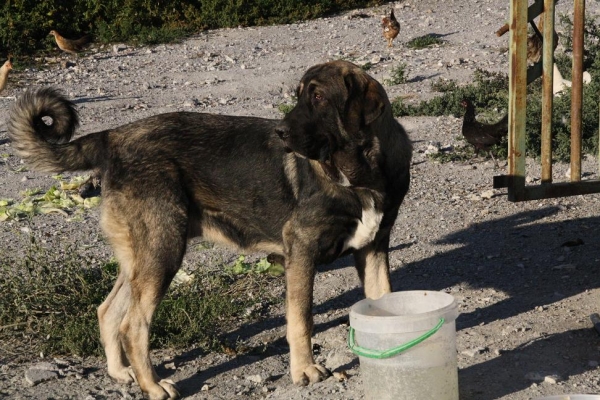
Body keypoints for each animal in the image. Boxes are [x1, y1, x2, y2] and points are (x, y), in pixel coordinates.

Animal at [7, 60, 412, 400]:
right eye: (300, 96)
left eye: (318, 97)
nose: (280, 132)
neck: (360, 175)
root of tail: (115, 136)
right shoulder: (301, 250)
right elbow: (301, 318)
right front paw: (305, 370)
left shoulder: (375, 249)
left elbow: (385, 303)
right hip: (164, 252)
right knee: (133, 326)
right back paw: (153, 386)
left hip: (142, 256)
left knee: (108, 312)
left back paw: (122, 373)